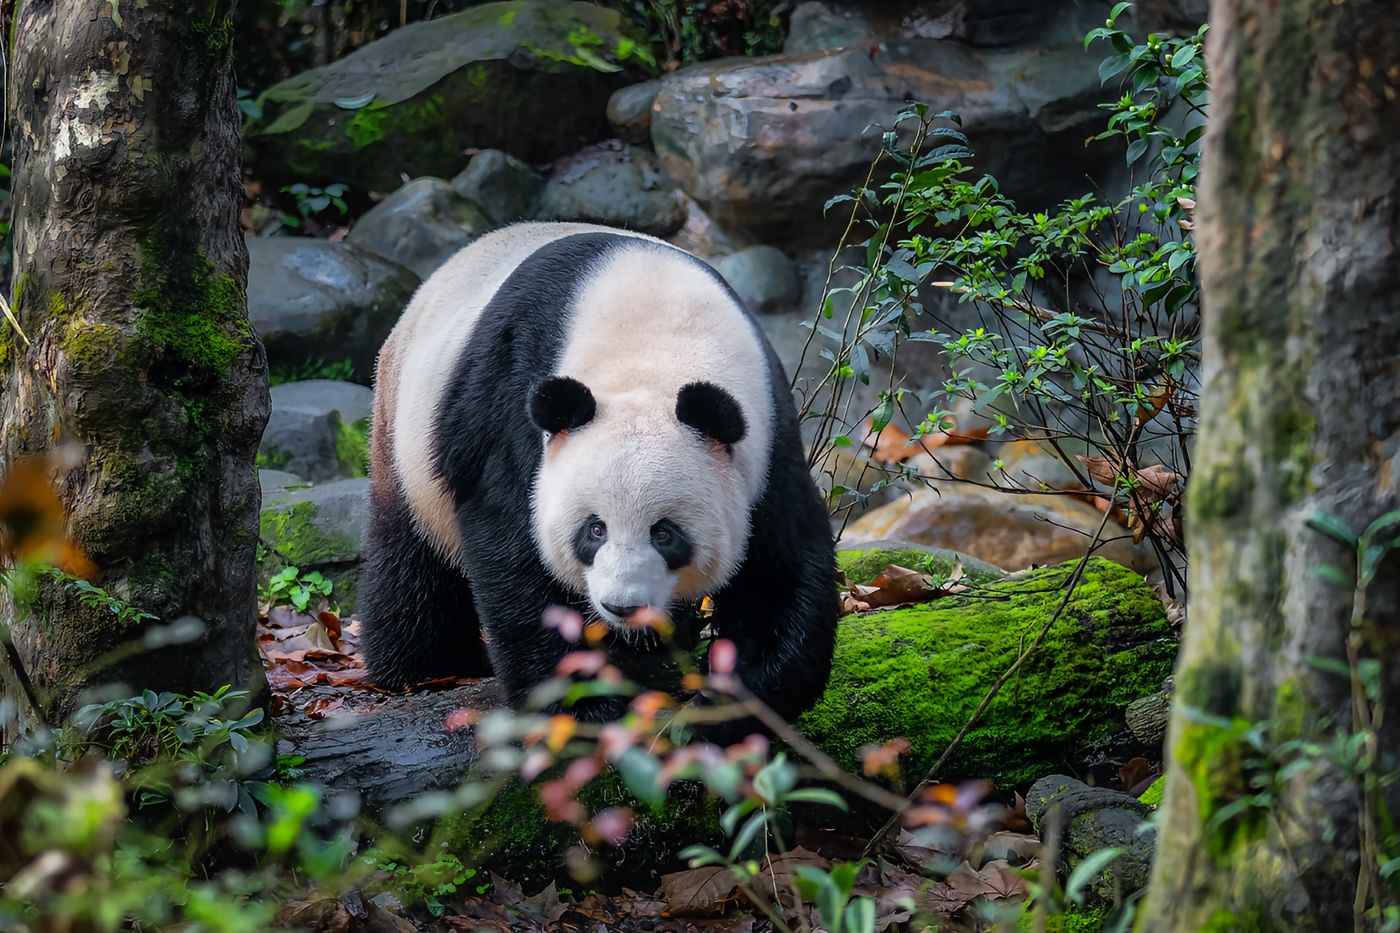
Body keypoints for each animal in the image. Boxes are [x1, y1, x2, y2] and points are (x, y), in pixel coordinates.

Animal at [359, 222, 839, 723]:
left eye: (665, 534)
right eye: (594, 529)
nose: (621, 606)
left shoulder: (766, 437)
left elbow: (776, 566)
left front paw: (738, 697)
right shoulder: (510, 408)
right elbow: (513, 549)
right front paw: (585, 704)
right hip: (406, 432)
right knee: (412, 558)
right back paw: (427, 664)